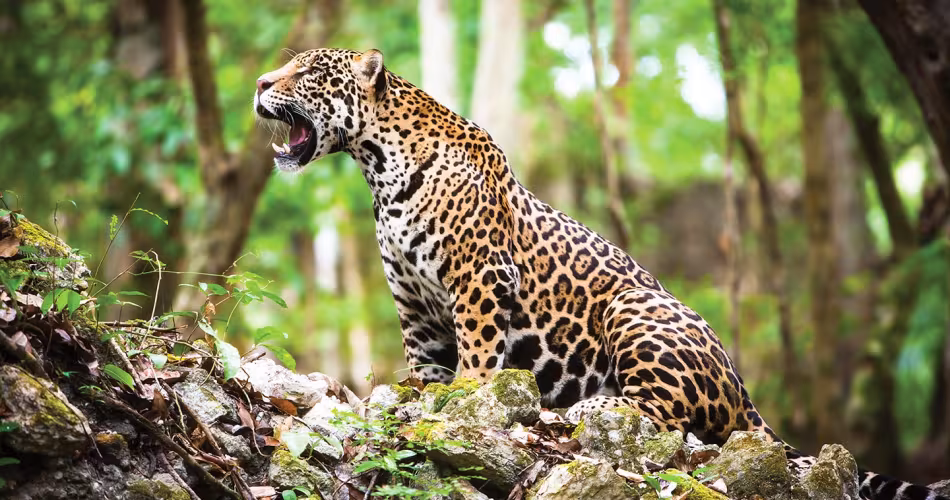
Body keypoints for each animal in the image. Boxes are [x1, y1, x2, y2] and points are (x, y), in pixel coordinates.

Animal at [253, 47, 947, 500]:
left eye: (307, 72)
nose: (260, 84)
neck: (378, 168)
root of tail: (747, 394)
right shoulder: (414, 304)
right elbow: (423, 365)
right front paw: (419, 398)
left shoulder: (478, 278)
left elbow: (476, 357)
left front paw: (465, 400)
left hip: (636, 310)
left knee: (675, 422)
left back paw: (586, 407)